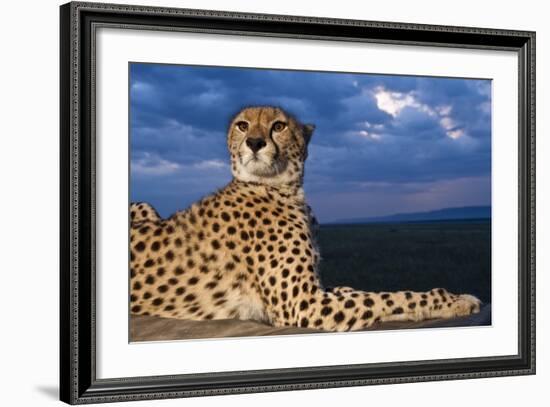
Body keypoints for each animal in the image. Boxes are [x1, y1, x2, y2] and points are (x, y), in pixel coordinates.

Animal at [130, 107, 484, 334]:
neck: (282, 188)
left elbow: (357, 290)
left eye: (278, 126)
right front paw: (454, 300)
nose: (255, 142)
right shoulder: (304, 304)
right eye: (243, 125)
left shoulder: (316, 291)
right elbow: (391, 297)